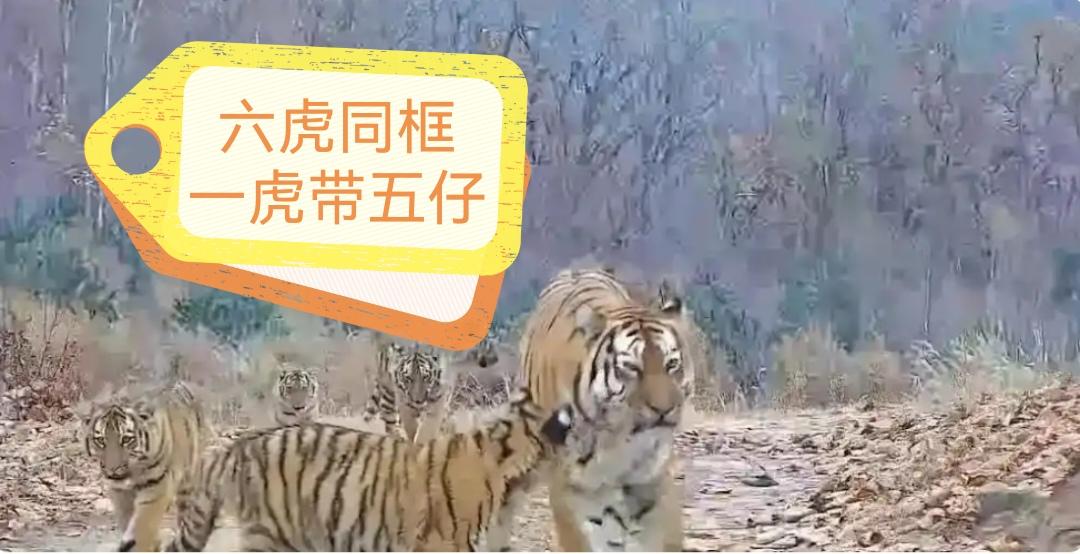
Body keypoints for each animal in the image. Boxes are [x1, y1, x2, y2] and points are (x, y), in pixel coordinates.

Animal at [79, 380, 213, 552]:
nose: (113, 469)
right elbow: (127, 519)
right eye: (101, 440)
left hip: (190, 482)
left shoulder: (157, 486)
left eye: (127, 439)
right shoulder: (119, 492)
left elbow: (143, 525)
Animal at [504, 266, 697, 552]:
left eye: (671, 364)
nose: (664, 409)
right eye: (631, 367)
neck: (618, 439)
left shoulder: (650, 477)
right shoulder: (567, 486)